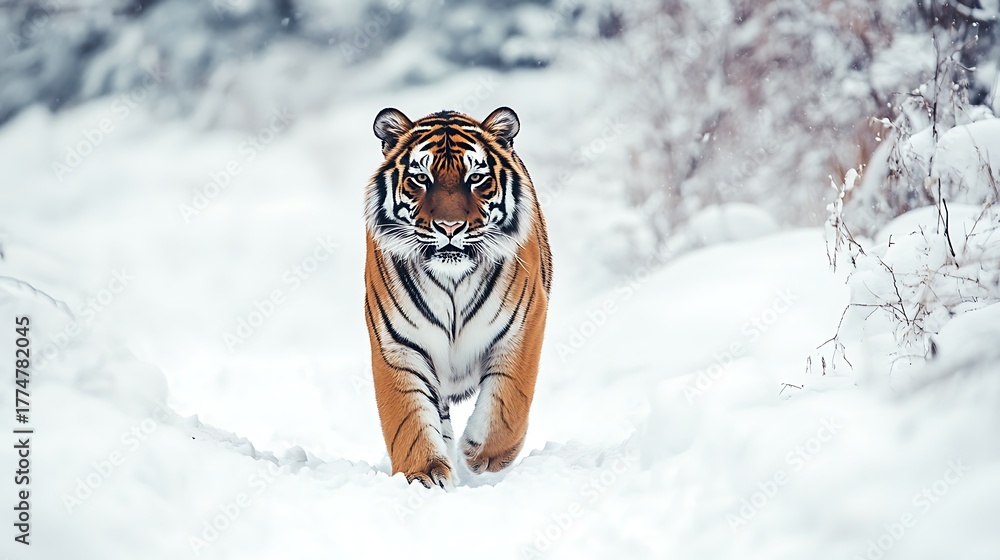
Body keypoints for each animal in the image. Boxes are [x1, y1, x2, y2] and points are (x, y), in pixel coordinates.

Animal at [363, 106, 552, 488]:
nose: (449, 227)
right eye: (421, 178)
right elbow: (408, 418)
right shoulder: (397, 343)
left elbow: (509, 400)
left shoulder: (524, 326)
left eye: (476, 178)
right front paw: (424, 474)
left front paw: (482, 455)